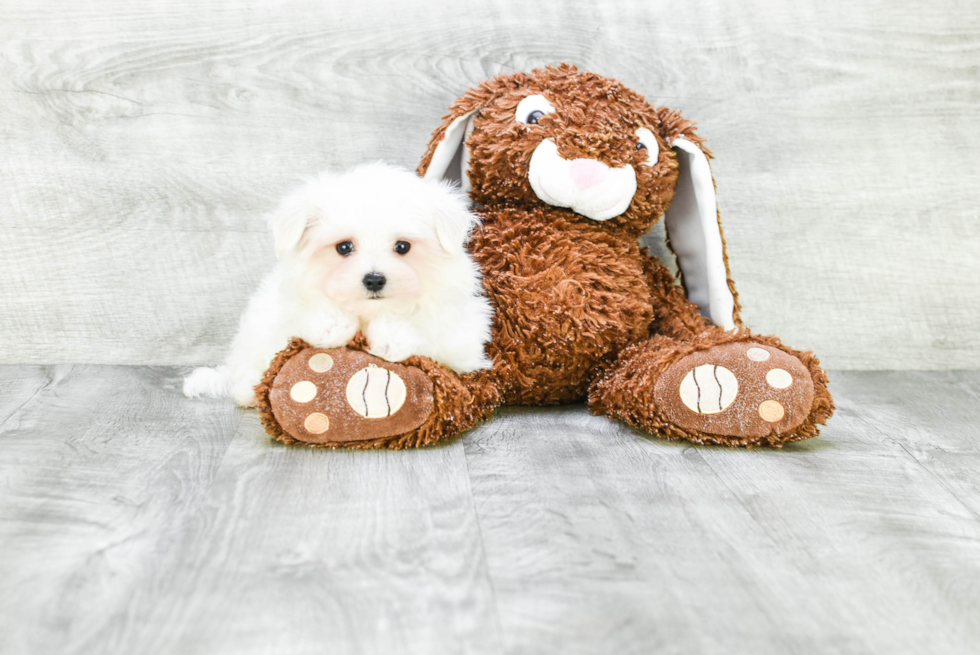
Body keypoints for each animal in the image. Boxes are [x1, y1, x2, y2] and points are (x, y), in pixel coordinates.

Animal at [184, 162, 494, 408]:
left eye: (403, 246)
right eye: (344, 247)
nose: (374, 279)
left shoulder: (461, 339)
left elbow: (428, 334)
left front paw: (391, 336)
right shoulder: (283, 308)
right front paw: (332, 326)